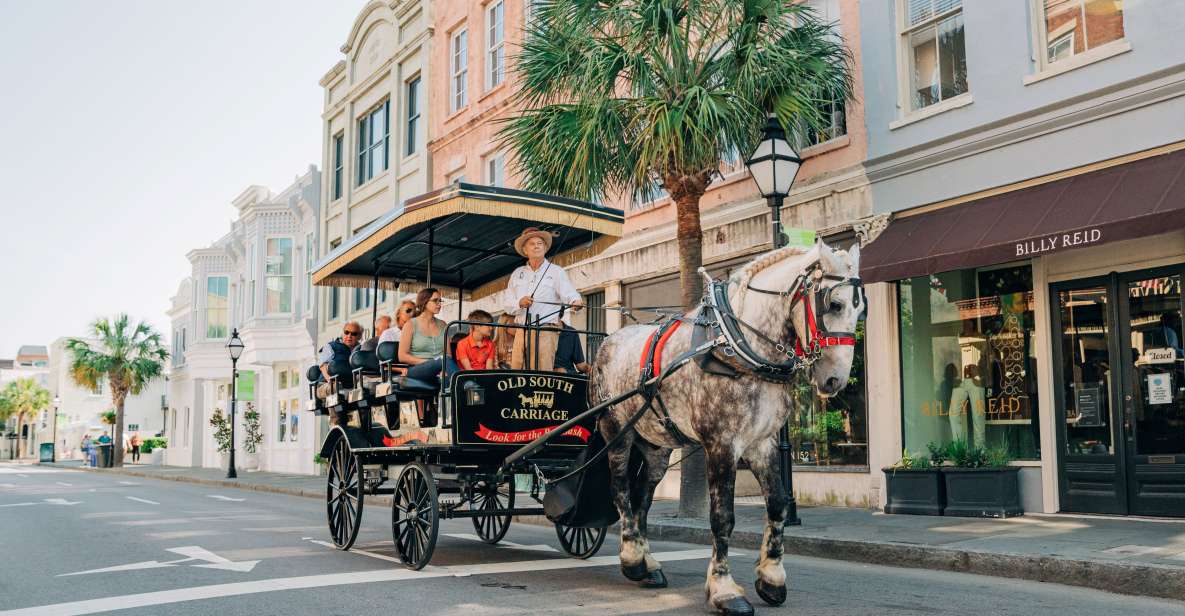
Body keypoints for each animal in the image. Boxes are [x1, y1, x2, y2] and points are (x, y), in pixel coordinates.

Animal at [592, 241, 862, 616]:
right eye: (834, 304)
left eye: (860, 309)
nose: (835, 380)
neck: (739, 345)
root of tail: (607, 341)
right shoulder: (722, 443)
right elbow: (722, 517)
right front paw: (724, 591)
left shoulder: (762, 442)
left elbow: (778, 503)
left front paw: (772, 578)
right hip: (616, 429)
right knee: (619, 489)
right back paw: (632, 559)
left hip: (656, 444)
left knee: (641, 496)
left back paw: (648, 565)